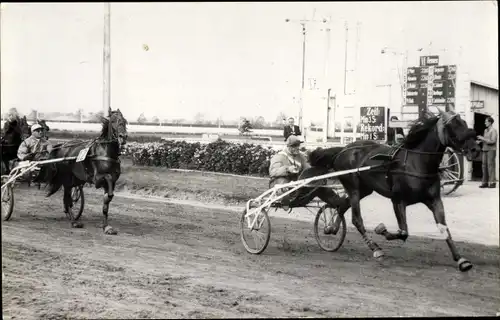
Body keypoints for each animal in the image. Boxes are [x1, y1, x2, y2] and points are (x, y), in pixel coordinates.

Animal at [308, 108, 480, 272]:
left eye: (464, 123)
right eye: (452, 126)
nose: (475, 149)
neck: (416, 163)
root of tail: (343, 149)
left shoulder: (434, 200)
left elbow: (444, 228)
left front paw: (460, 259)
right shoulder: (398, 200)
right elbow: (403, 232)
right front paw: (381, 229)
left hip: (365, 189)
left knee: (342, 206)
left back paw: (331, 228)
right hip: (353, 187)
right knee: (356, 219)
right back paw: (375, 248)